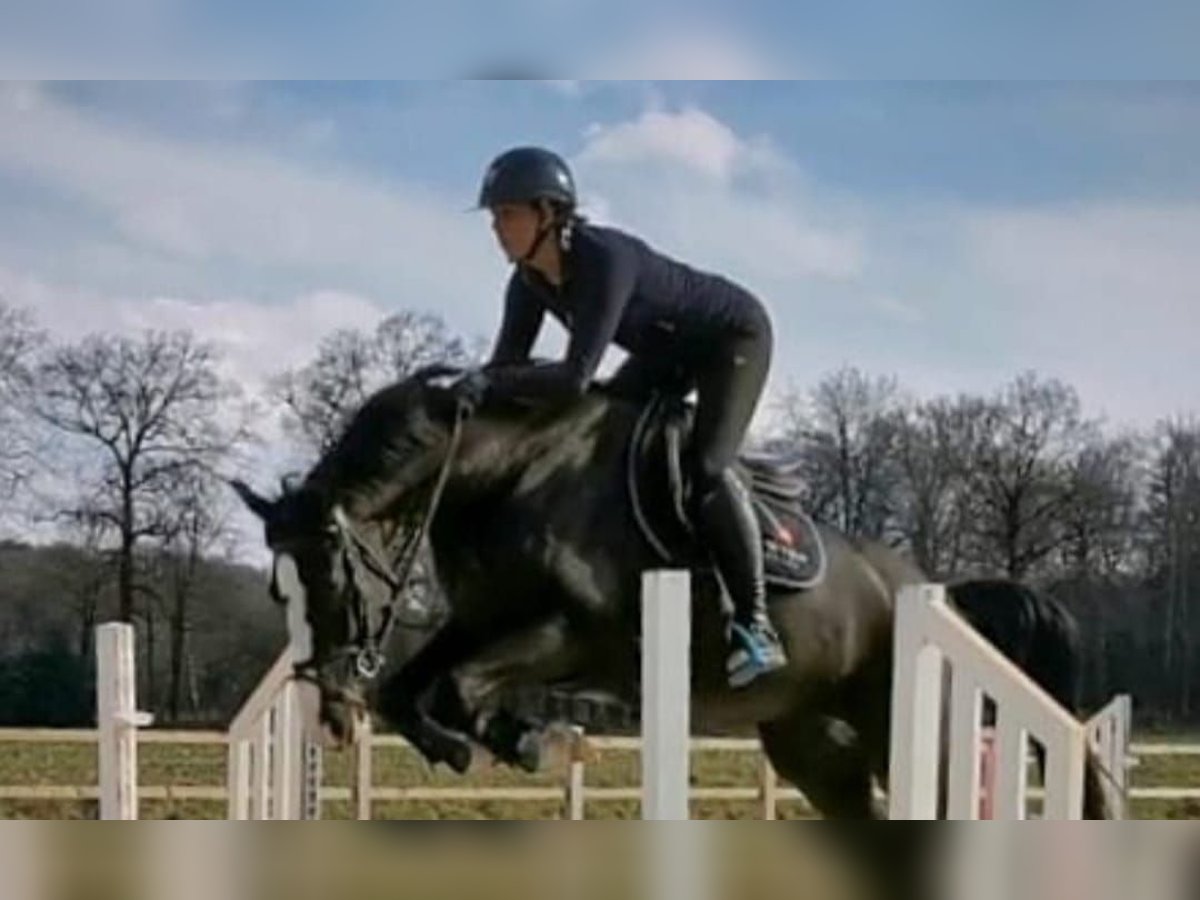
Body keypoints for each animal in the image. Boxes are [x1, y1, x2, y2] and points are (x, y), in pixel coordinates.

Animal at [231, 367, 1104, 825]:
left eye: (333, 581)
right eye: (280, 596)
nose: (327, 714)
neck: (501, 472)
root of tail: (932, 589)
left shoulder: (569, 633)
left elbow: (449, 689)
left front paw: (518, 740)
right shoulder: (481, 622)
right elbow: (415, 689)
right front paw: (499, 740)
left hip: (902, 723)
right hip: (810, 744)